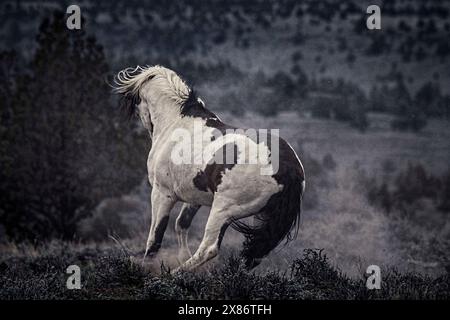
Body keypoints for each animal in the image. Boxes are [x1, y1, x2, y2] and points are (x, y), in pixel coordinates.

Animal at [112, 66, 306, 272]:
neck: (177, 122)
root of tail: (290, 169)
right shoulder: (195, 198)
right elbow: (181, 224)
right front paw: (181, 256)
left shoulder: (162, 193)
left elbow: (155, 238)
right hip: (261, 216)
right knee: (254, 255)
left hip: (223, 210)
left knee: (209, 248)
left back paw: (174, 274)